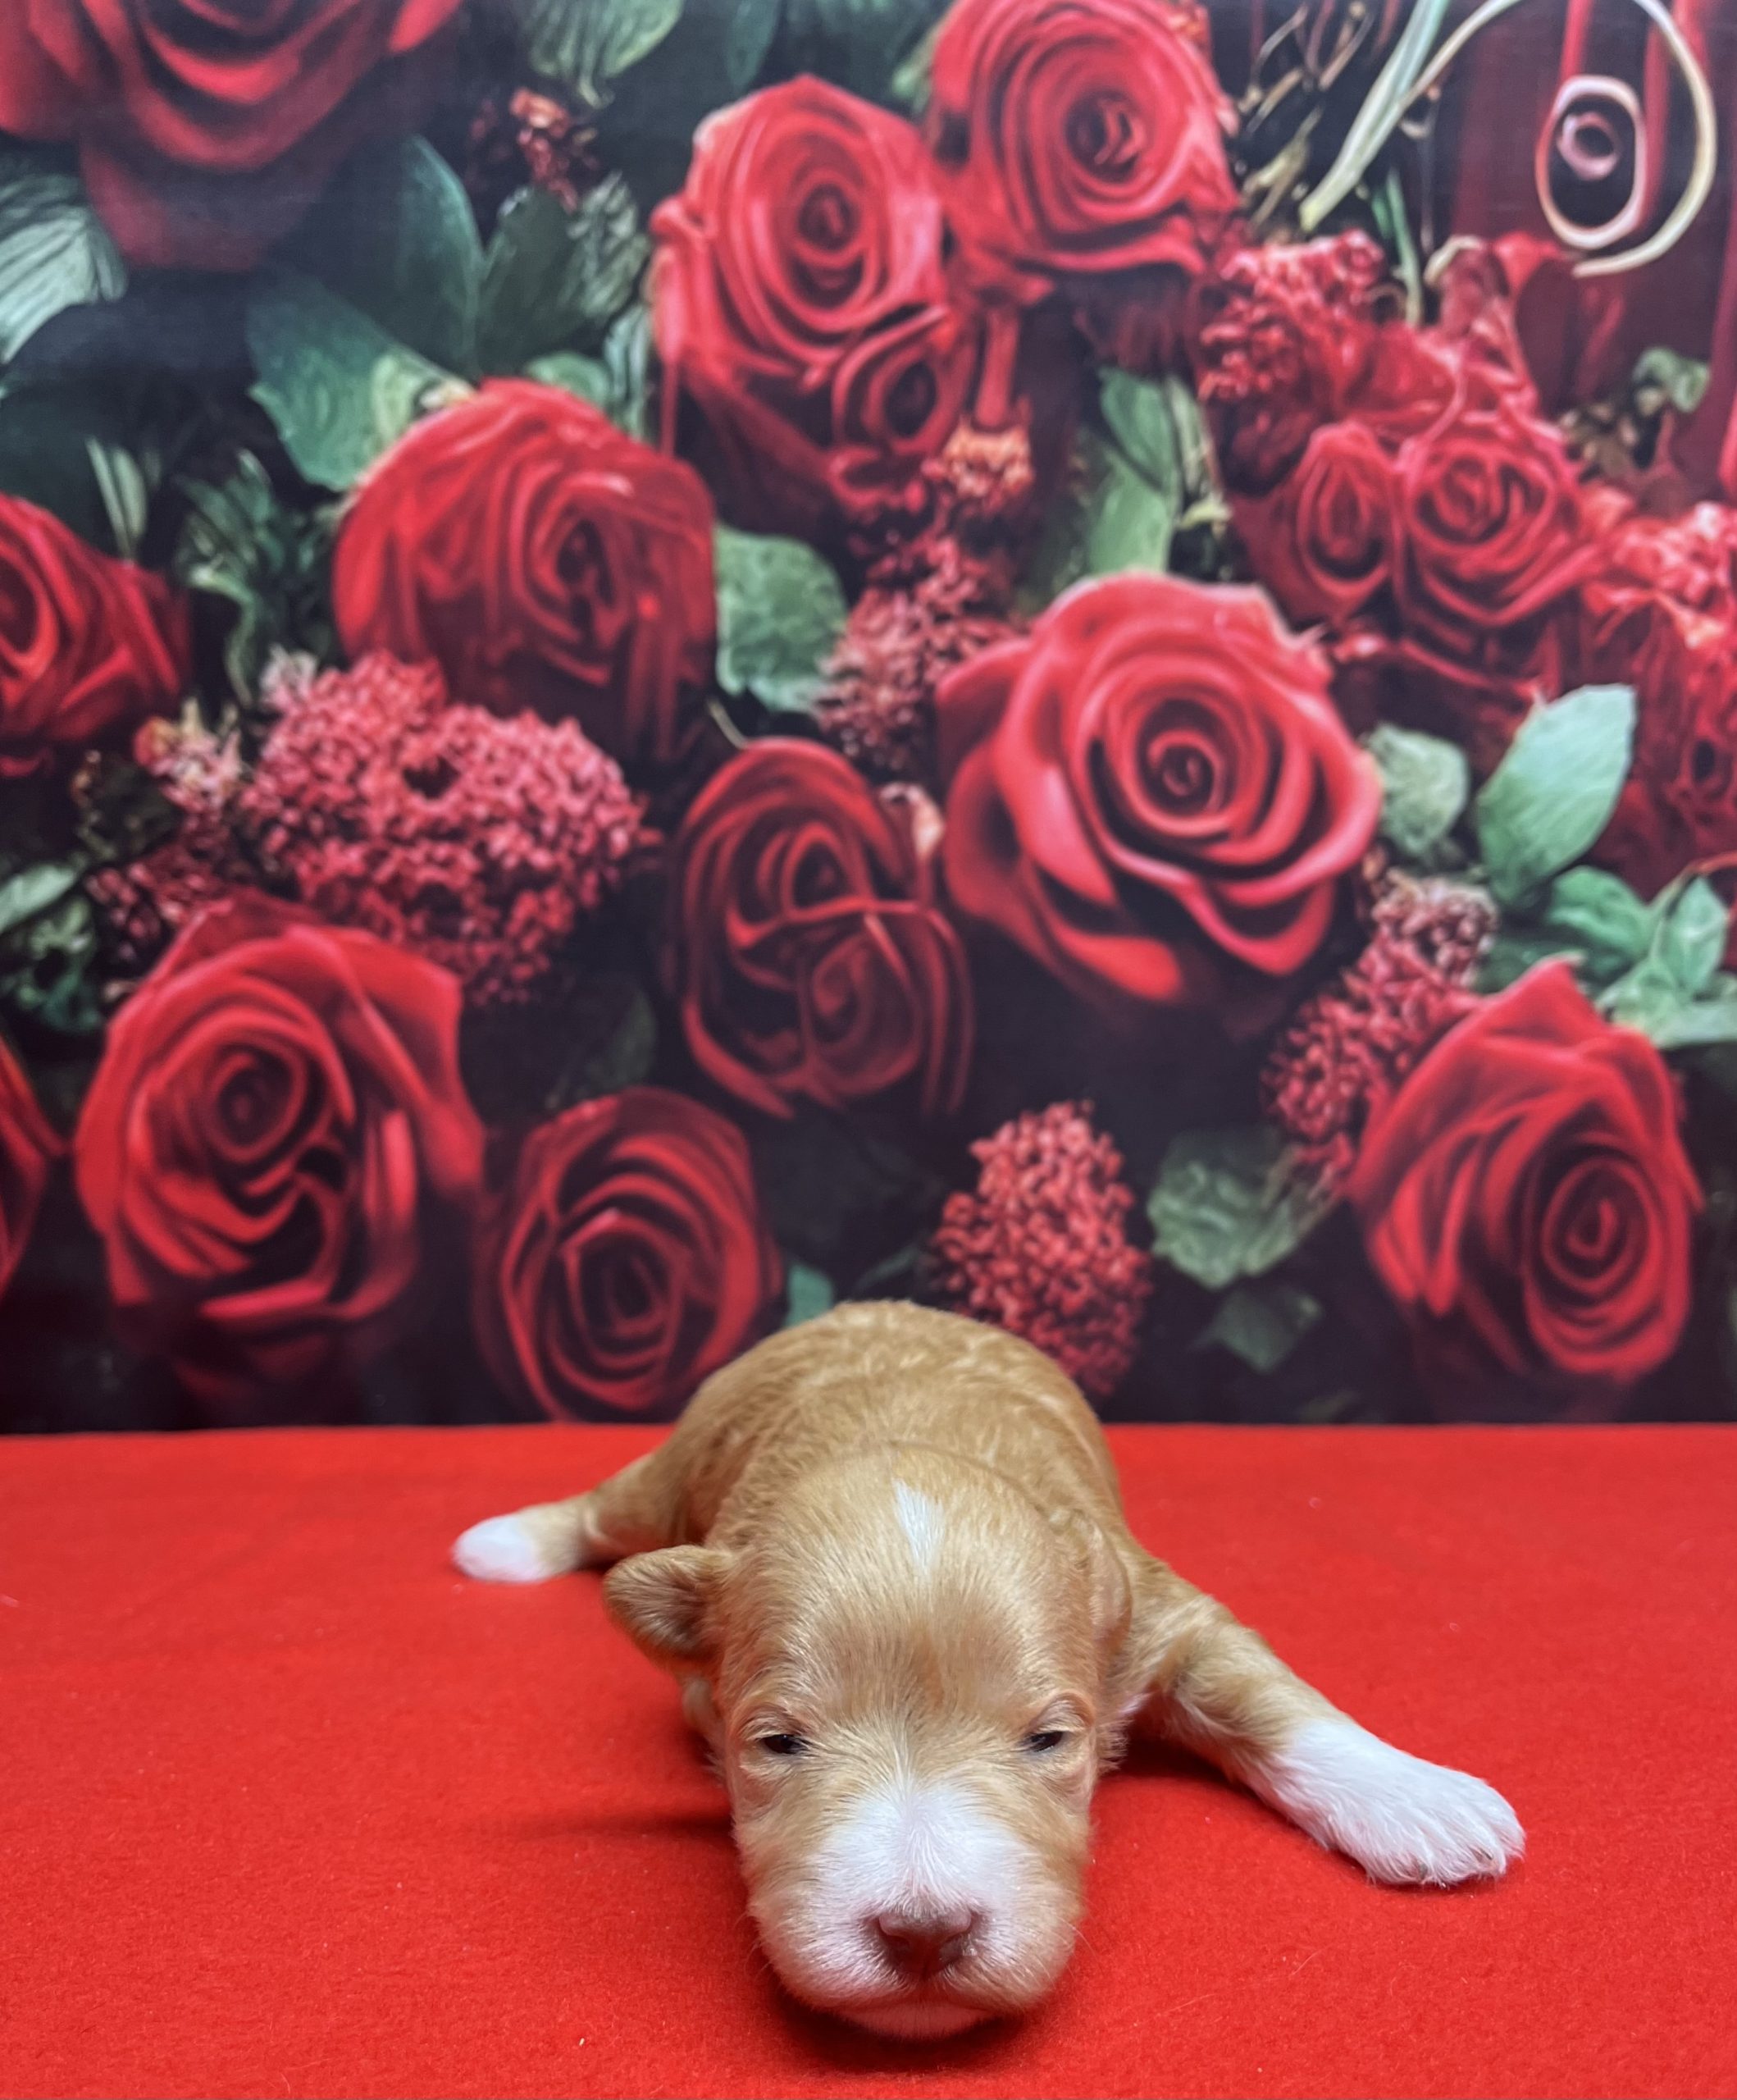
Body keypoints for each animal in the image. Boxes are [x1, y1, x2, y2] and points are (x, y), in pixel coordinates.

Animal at [454, 1301, 1522, 2037]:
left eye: (1049, 1740)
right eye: (777, 1742)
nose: (924, 1933)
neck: (909, 1437)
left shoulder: (1156, 1609)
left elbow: (1271, 1695)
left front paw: (1414, 1796)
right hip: (679, 1460)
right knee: (606, 1506)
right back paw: (502, 1542)